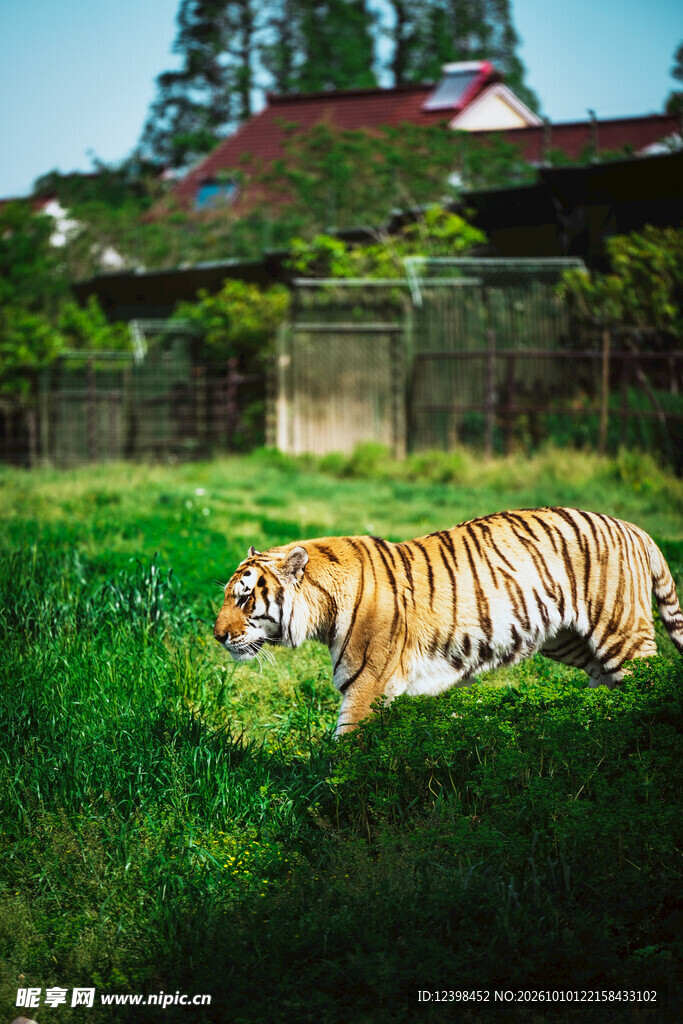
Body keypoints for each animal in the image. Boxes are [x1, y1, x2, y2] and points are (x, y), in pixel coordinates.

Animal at [213, 507, 683, 737]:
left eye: (244, 598)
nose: (217, 636)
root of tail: (634, 528)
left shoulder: (366, 684)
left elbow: (344, 748)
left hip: (621, 634)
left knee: (648, 685)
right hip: (571, 640)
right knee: (605, 685)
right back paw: (592, 725)